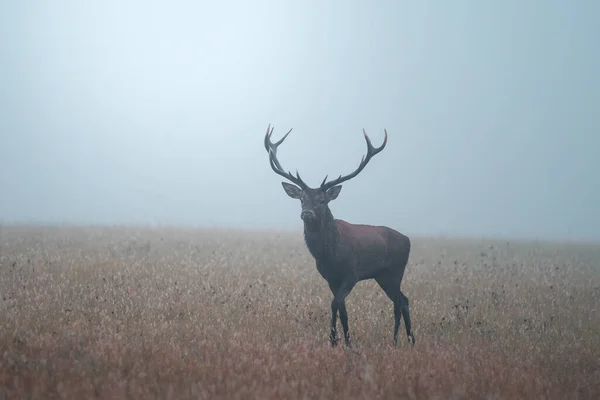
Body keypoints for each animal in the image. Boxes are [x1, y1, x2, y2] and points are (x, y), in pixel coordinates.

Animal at [264, 125, 414, 346]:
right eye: (302, 199)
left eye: (322, 200)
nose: (306, 213)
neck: (329, 254)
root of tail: (408, 240)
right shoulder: (330, 277)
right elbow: (342, 309)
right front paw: (343, 342)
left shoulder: (351, 274)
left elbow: (335, 303)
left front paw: (336, 340)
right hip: (382, 275)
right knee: (403, 299)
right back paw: (410, 340)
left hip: (395, 270)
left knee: (400, 301)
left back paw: (397, 341)